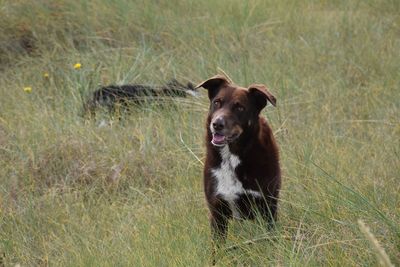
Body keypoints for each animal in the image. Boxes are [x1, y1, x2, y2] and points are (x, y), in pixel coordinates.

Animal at [195, 75, 280, 251]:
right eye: (217, 102)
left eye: (240, 107)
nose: (217, 124)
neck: (231, 158)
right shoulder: (217, 211)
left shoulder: (267, 206)